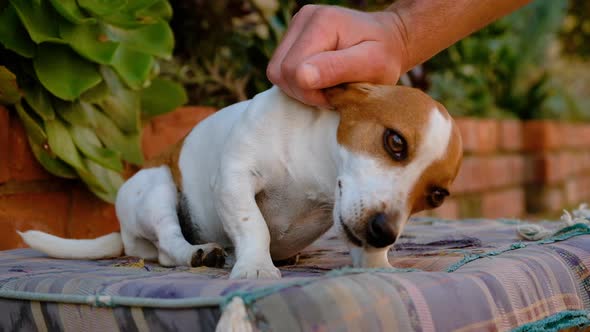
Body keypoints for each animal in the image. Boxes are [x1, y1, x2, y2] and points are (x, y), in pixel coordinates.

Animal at [17, 82, 462, 278]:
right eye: (395, 142)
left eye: (437, 196)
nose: (384, 232)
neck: (316, 167)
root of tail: (123, 236)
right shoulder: (235, 180)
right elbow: (255, 228)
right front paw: (255, 267)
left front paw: (378, 265)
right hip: (156, 189)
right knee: (168, 246)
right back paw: (199, 253)